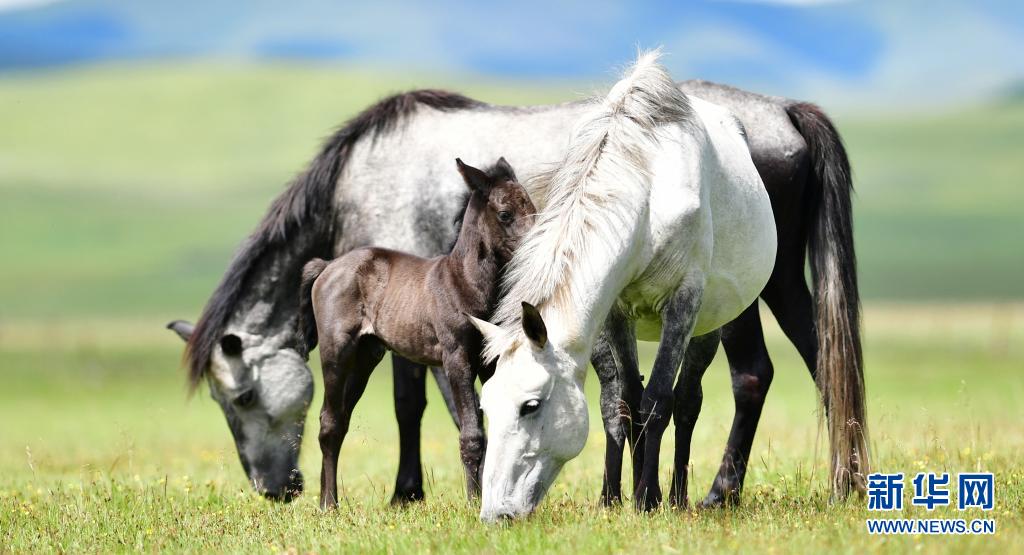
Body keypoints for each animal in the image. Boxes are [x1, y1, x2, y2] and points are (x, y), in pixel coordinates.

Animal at [298, 158, 535, 509]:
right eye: (505, 213)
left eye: (532, 207)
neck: (464, 282)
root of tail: (327, 266)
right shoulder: (456, 359)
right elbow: (471, 433)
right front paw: (473, 504)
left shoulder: (490, 361)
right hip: (336, 352)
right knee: (328, 422)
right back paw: (329, 504)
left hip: (366, 357)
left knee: (339, 421)